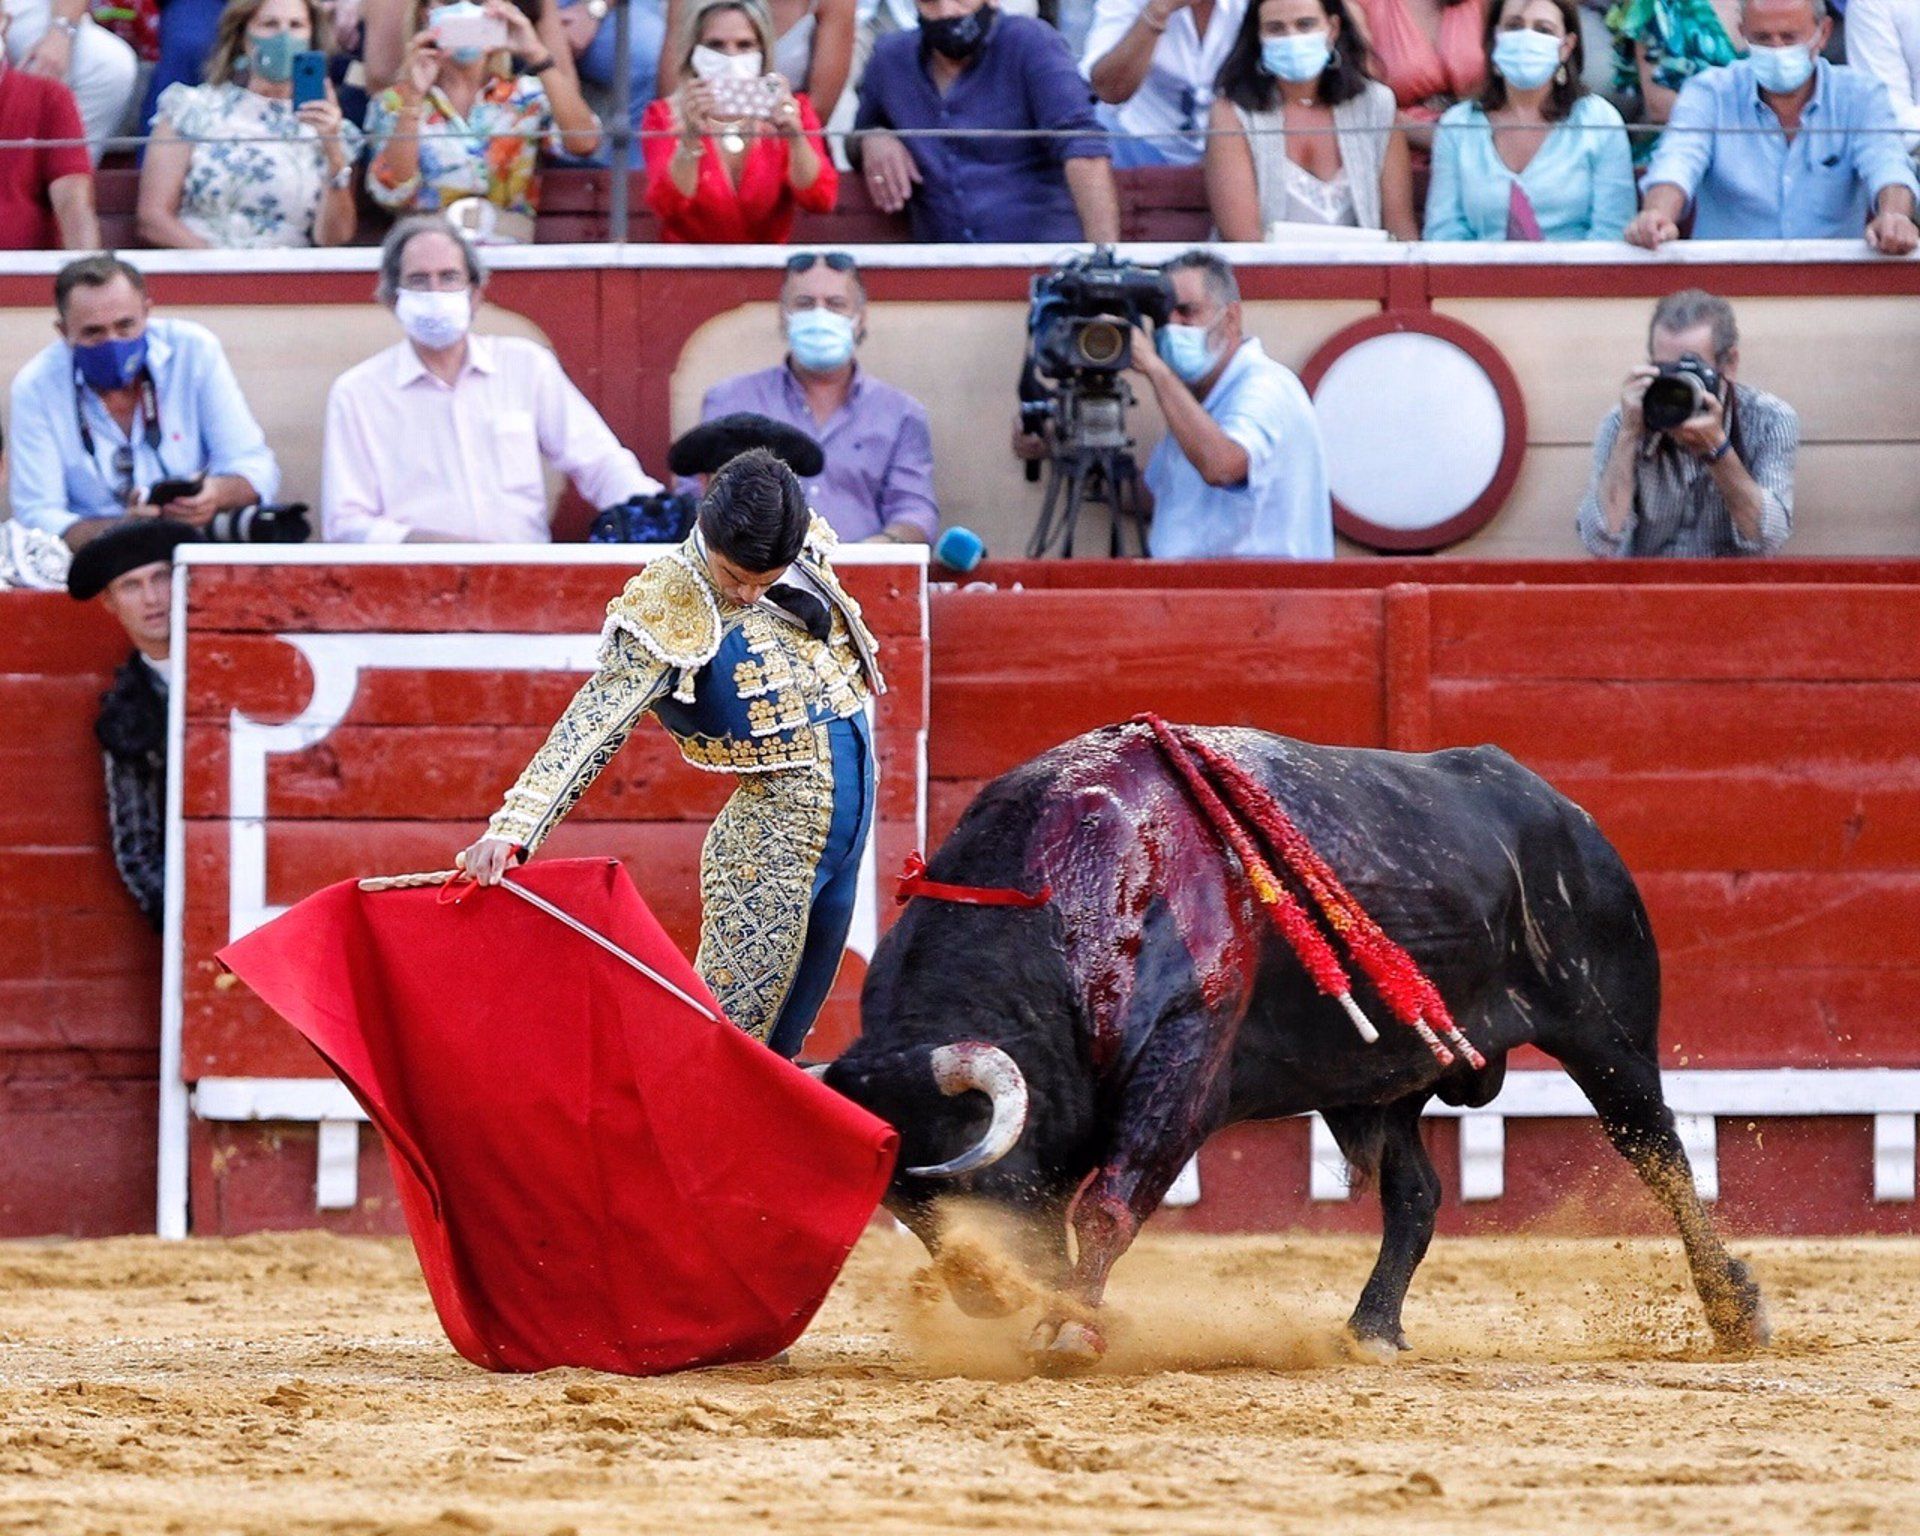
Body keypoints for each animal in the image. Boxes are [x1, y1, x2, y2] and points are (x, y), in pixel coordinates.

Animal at [825, 721, 1766, 1367]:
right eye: (904, 1204)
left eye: (980, 1175)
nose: (983, 1296)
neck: (1060, 902)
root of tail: (1567, 811)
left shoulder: (1182, 1070)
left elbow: (1108, 1204)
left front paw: (1067, 1332)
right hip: (1389, 1082)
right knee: (1417, 1195)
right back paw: (1370, 1331)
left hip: (1608, 1035)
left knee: (1660, 1154)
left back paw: (1736, 1313)